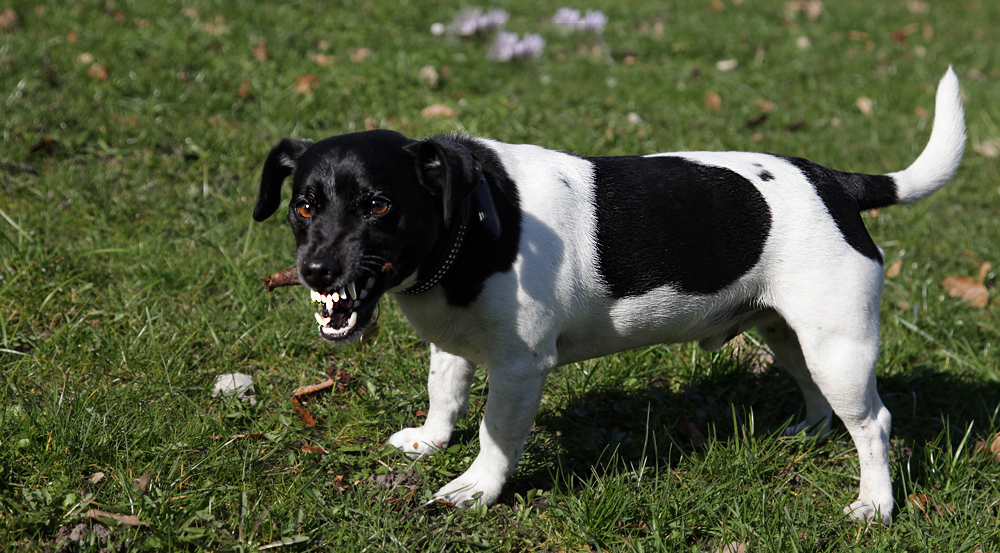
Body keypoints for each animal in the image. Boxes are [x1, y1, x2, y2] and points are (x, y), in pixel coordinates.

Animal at [254, 68, 964, 520]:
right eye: (303, 206)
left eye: (379, 205)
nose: (315, 270)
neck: (476, 221)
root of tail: (838, 182)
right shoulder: (455, 345)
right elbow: (445, 394)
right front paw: (431, 441)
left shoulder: (519, 369)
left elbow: (494, 434)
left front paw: (478, 489)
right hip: (788, 334)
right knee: (819, 399)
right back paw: (806, 435)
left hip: (838, 346)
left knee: (873, 423)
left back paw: (876, 503)